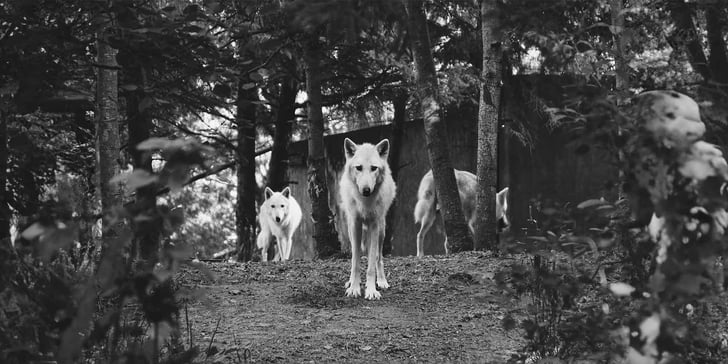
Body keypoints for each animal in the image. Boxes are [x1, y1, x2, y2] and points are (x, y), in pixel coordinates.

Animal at [338, 138, 396, 300]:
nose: (366, 190)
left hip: (381, 230)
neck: (365, 202)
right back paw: (351, 282)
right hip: (351, 230)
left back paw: (381, 281)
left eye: (374, 168)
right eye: (358, 168)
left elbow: (371, 265)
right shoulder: (355, 225)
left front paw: (371, 291)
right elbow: (355, 262)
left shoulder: (374, 226)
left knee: (378, 258)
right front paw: (354, 288)